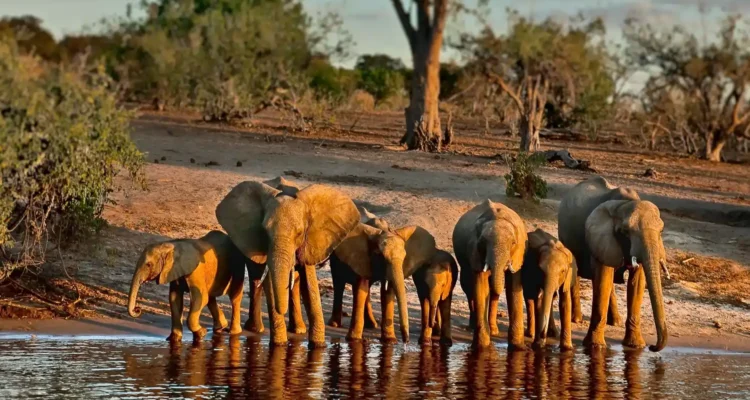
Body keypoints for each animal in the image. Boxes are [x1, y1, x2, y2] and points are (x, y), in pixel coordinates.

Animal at [216, 179, 360, 346]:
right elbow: (270, 284)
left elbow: (309, 286)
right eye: (264, 232)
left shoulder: (309, 242)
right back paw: (256, 329)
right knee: (256, 277)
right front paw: (279, 345)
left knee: (294, 282)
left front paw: (318, 345)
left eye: (299, 233)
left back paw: (298, 330)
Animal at [452, 198, 528, 348]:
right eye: (482, 242)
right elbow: (481, 287)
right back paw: (473, 327)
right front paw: (482, 347)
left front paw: (518, 346)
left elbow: (513, 287)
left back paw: (493, 331)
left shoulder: (518, 253)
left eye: (513, 243)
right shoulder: (474, 250)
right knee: (468, 287)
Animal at [560, 177, 672, 352]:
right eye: (625, 232)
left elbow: (637, 283)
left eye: (661, 231)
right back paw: (577, 319)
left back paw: (615, 322)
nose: (652, 347)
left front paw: (636, 346)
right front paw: (596, 346)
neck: (625, 203)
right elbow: (603, 278)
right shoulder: (601, 237)